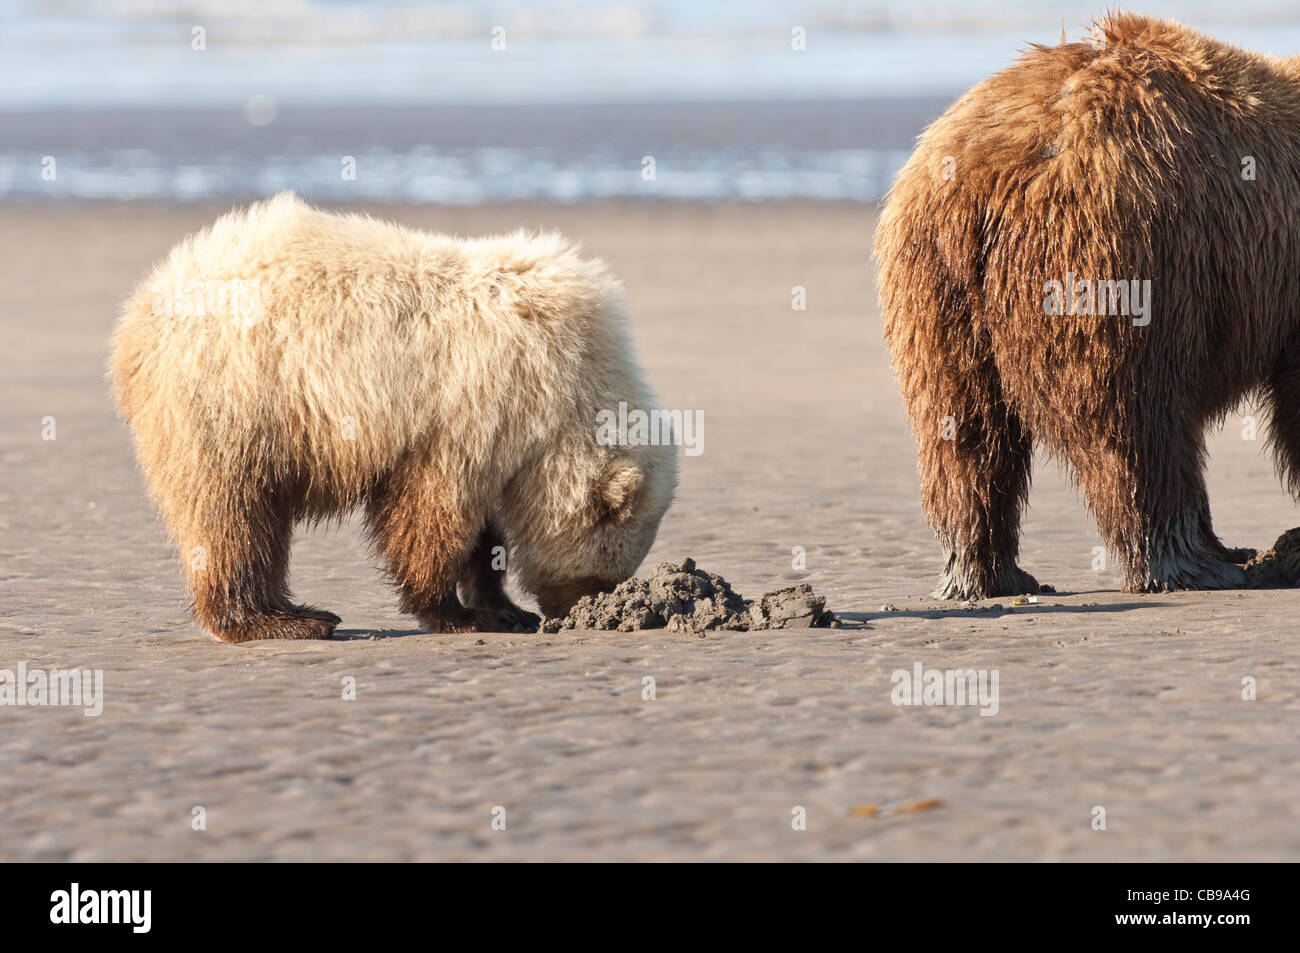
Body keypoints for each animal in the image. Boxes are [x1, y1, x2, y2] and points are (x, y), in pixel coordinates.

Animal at [110, 192, 676, 642]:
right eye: (601, 577)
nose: (581, 611)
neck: (573, 375)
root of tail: (140, 313)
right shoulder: (478, 402)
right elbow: (433, 511)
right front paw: (458, 614)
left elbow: (484, 529)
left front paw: (506, 608)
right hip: (235, 399)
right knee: (232, 515)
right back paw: (283, 621)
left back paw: (294, 609)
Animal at [875, 12, 1290, 598]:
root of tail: (983, 178)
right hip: (1120, 260)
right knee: (1137, 424)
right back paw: (1194, 563)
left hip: (932, 292)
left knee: (963, 431)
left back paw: (985, 573)